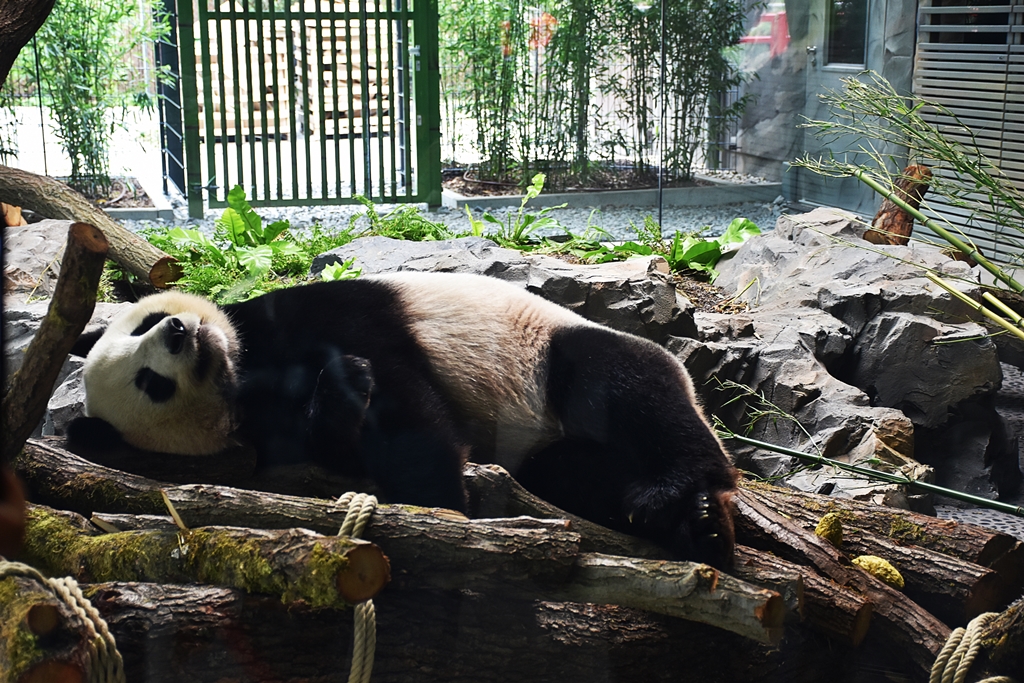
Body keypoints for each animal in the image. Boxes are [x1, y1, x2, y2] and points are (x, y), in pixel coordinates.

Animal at [68, 272, 737, 568]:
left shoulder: (319, 313)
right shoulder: (266, 429)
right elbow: (346, 445)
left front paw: (440, 500)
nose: (179, 332)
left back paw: (680, 493)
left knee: (624, 382)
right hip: (546, 449)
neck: (241, 370)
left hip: (544, 350)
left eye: (142, 322)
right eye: (149, 383)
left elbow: (401, 397)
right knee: (572, 472)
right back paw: (691, 527)